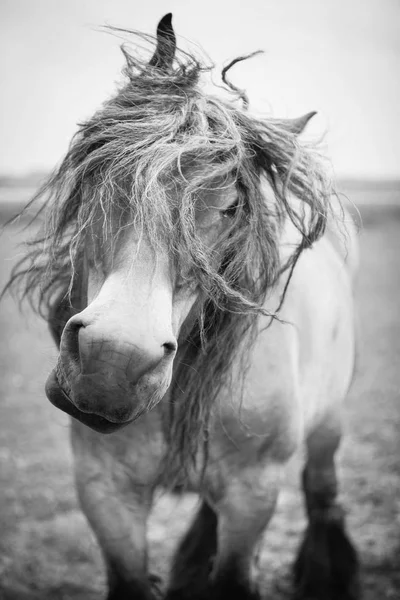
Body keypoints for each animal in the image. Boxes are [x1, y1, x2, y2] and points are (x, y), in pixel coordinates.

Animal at [6, 12, 360, 600]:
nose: (113, 364)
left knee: (322, 492)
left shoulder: (252, 493)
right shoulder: (106, 493)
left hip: (326, 430)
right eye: (105, 169)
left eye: (233, 206)